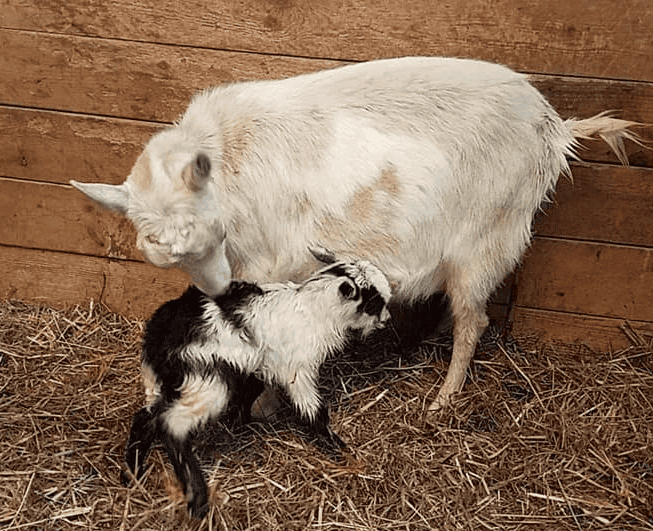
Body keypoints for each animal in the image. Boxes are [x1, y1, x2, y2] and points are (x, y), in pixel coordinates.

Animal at [70, 57, 636, 416]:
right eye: (168, 256)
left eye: (212, 231)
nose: (217, 286)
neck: (229, 157)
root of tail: (556, 128)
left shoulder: (271, 262)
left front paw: (266, 404)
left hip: (486, 241)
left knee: (474, 320)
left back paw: (443, 400)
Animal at [120, 249, 390, 520]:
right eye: (374, 302)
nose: (387, 320)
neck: (314, 310)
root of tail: (159, 337)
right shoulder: (297, 370)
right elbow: (313, 410)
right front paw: (338, 448)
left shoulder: (259, 366)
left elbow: (250, 394)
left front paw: (240, 424)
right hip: (206, 382)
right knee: (171, 424)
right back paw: (198, 499)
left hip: (164, 382)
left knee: (146, 418)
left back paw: (131, 475)